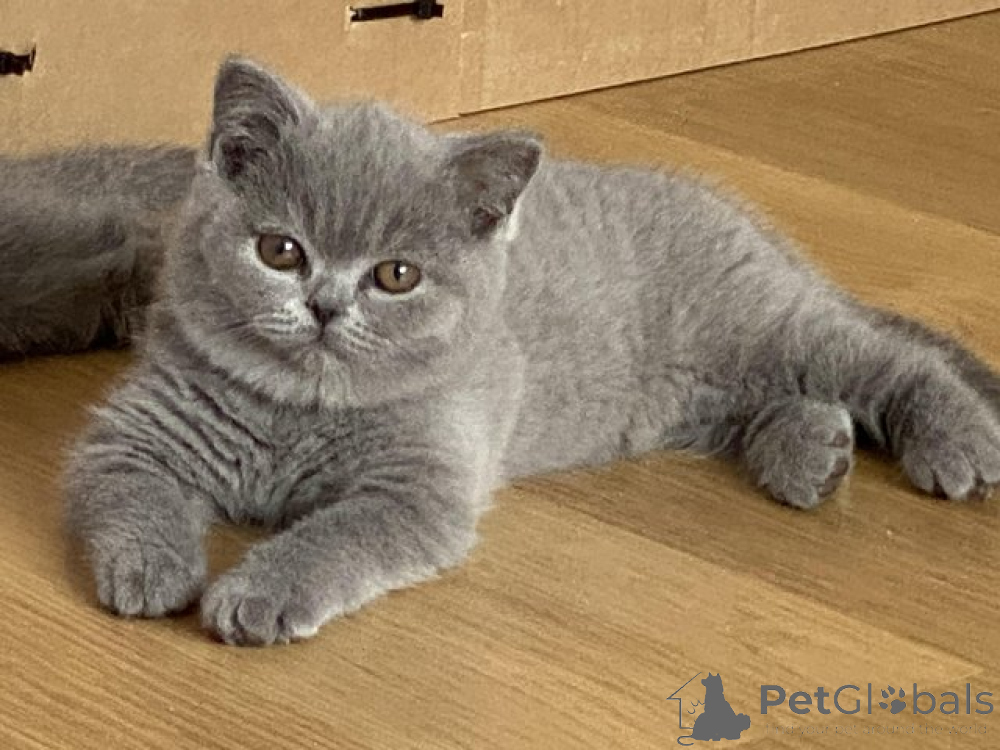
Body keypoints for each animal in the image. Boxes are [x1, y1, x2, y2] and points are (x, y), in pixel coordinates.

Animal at [2, 58, 998, 646]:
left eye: (396, 275)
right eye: (280, 250)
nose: (324, 305)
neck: (299, 410)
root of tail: (739, 215)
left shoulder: (421, 489)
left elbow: (335, 535)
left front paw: (260, 592)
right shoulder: (135, 433)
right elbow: (126, 488)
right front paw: (150, 567)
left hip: (764, 327)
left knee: (885, 358)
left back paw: (957, 441)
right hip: (698, 394)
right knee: (778, 402)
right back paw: (812, 454)